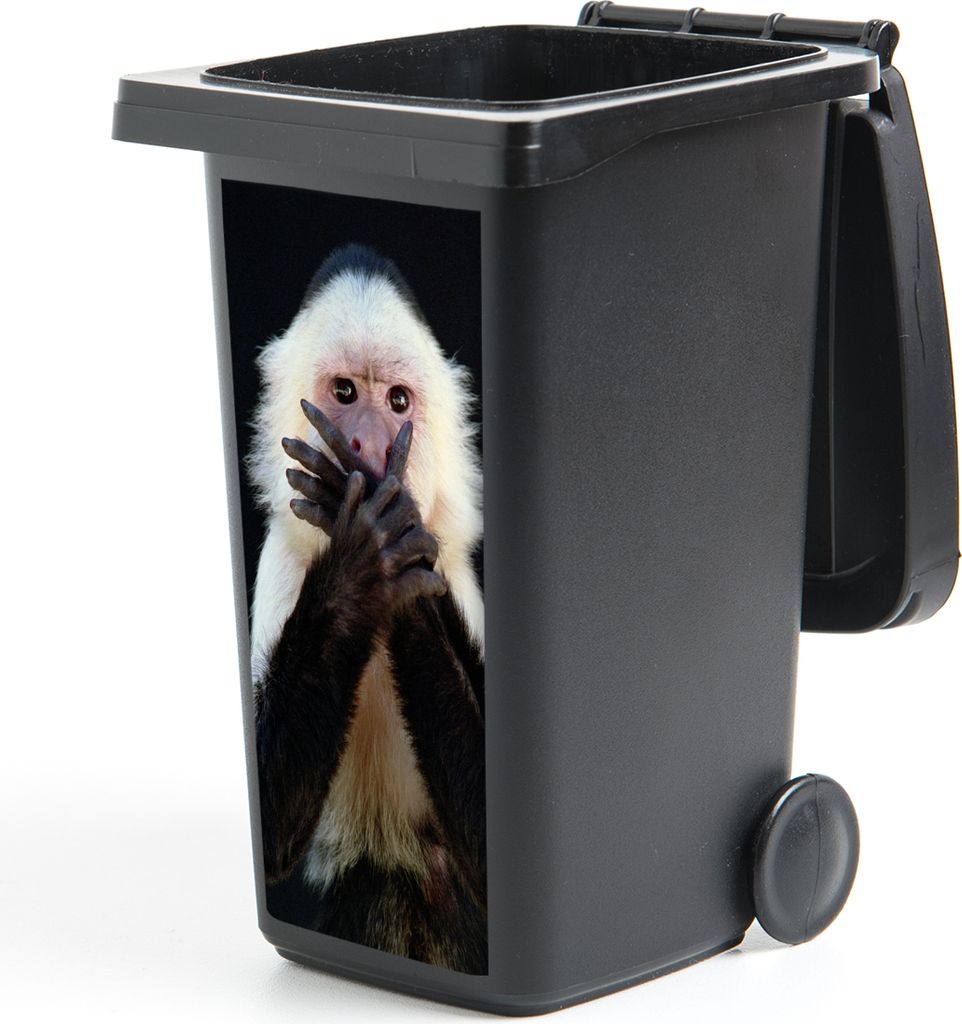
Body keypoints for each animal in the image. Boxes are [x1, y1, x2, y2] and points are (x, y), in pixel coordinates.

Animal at [246, 244, 487, 973]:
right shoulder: (281, 559)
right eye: (346, 393)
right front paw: (366, 557)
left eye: (398, 402)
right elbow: (268, 813)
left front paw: (395, 534)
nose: (369, 449)